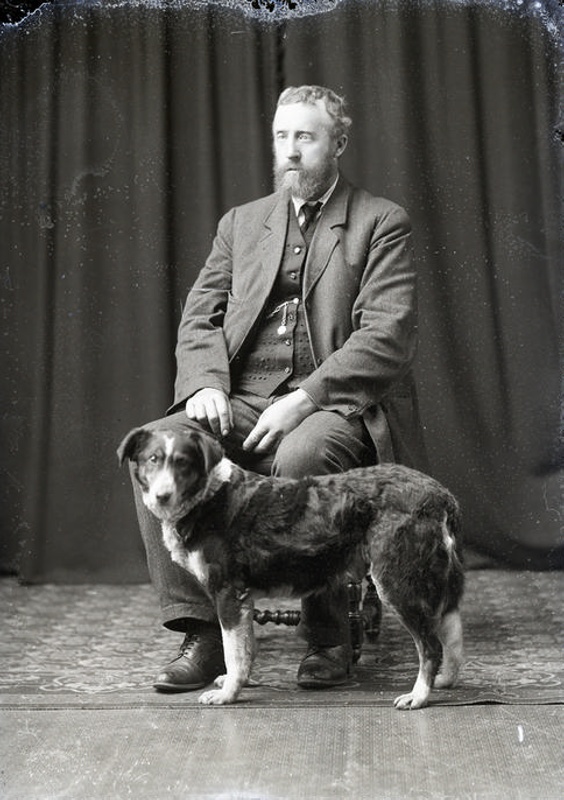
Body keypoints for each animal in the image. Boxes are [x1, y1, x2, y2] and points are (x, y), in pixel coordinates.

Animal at [118, 424, 462, 708]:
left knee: (430, 645)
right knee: (452, 632)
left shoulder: (227, 591)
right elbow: (246, 647)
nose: (162, 496)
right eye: (152, 460)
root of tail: (440, 496)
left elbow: (234, 650)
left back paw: (419, 694)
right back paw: (446, 679)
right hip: (434, 579)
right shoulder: (242, 598)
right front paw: (239, 682)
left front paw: (228, 694)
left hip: (397, 580)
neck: (209, 496)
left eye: (183, 463)